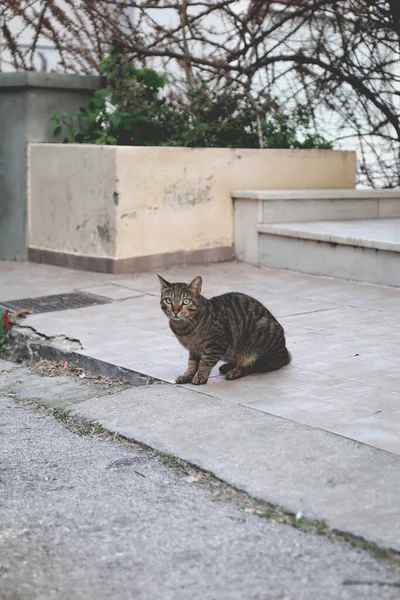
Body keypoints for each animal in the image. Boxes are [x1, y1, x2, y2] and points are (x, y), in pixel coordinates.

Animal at [156, 274, 290, 384]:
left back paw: (235, 371)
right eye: (168, 300)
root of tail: (285, 352)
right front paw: (187, 375)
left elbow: (205, 362)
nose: (176, 310)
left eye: (186, 301)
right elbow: (192, 364)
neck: (184, 328)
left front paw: (200, 376)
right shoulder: (194, 349)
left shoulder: (216, 344)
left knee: (254, 366)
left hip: (259, 342)